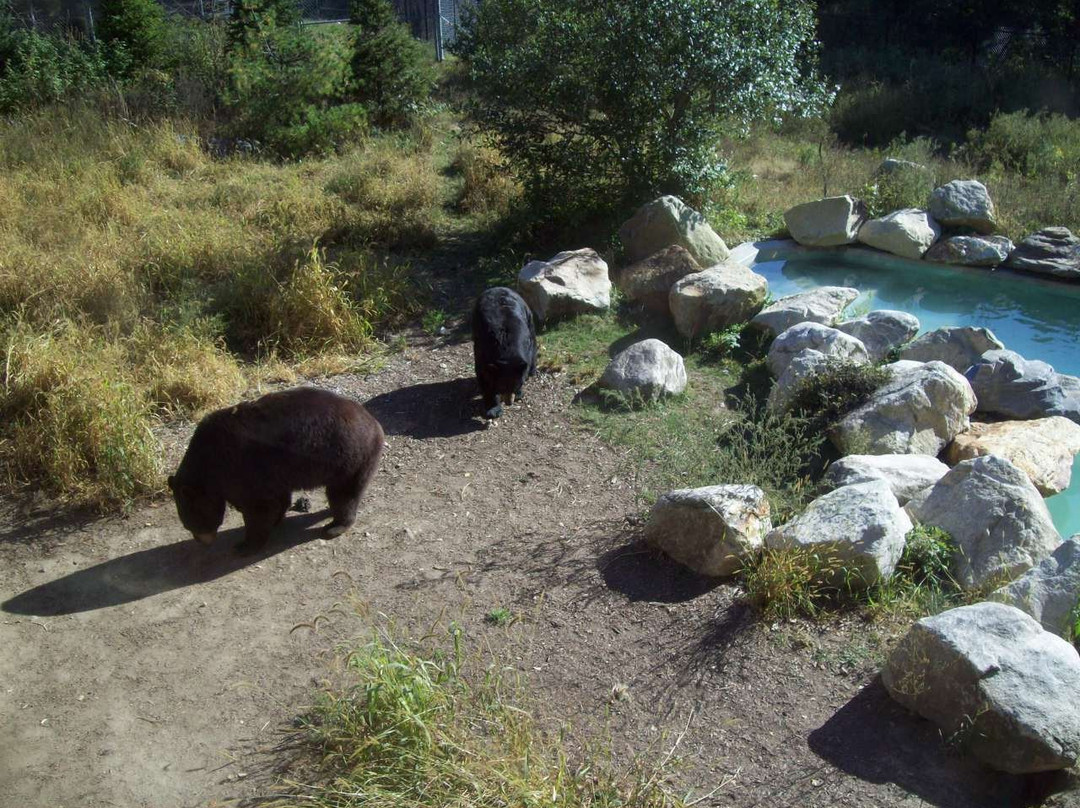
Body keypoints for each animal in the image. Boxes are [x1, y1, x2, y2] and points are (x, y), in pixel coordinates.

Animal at [166, 386, 386, 553]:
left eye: (191, 522)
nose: (202, 540)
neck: (209, 463)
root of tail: (374, 423)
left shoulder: (243, 468)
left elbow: (259, 507)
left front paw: (245, 545)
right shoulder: (273, 472)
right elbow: (277, 499)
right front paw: (276, 520)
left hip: (349, 459)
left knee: (343, 494)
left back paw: (334, 526)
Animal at [473, 287, 540, 419]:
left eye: (517, 385)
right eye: (502, 387)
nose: (509, 402)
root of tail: (498, 287)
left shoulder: (525, 346)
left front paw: (519, 393)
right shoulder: (482, 350)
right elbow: (485, 377)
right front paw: (493, 409)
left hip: (528, 317)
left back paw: (532, 371)